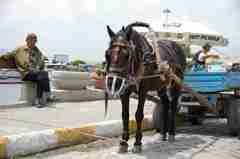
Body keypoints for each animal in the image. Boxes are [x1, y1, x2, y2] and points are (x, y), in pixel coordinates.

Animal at [104, 22, 187, 153]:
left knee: (173, 106)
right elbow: (125, 115)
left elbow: (139, 115)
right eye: (107, 54)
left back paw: (171, 134)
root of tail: (177, 46)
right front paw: (123, 142)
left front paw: (137, 143)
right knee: (165, 103)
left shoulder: (143, 90)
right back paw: (163, 134)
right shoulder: (124, 91)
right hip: (161, 85)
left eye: (126, 55)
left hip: (177, 83)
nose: (113, 83)